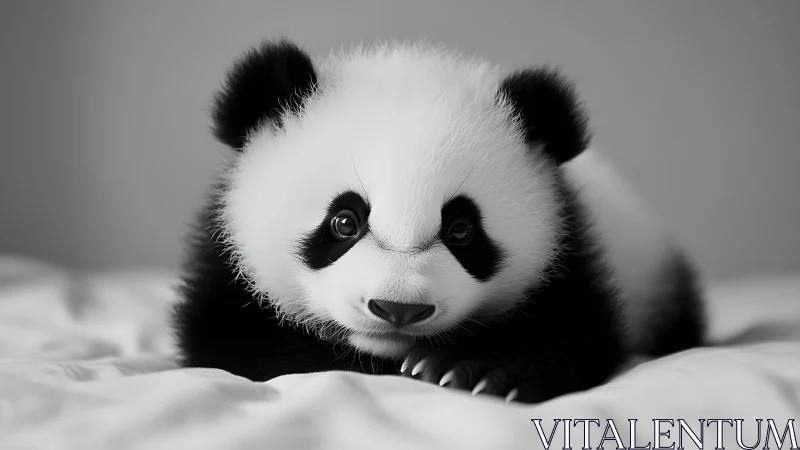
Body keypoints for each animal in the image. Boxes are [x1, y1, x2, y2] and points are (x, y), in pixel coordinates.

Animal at [171, 38, 706, 404]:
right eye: (344, 222)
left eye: (462, 231)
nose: (398, 309)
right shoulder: (226, 260)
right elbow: (237, 344)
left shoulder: (568, 247)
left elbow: (574, 334)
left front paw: (475, 369)